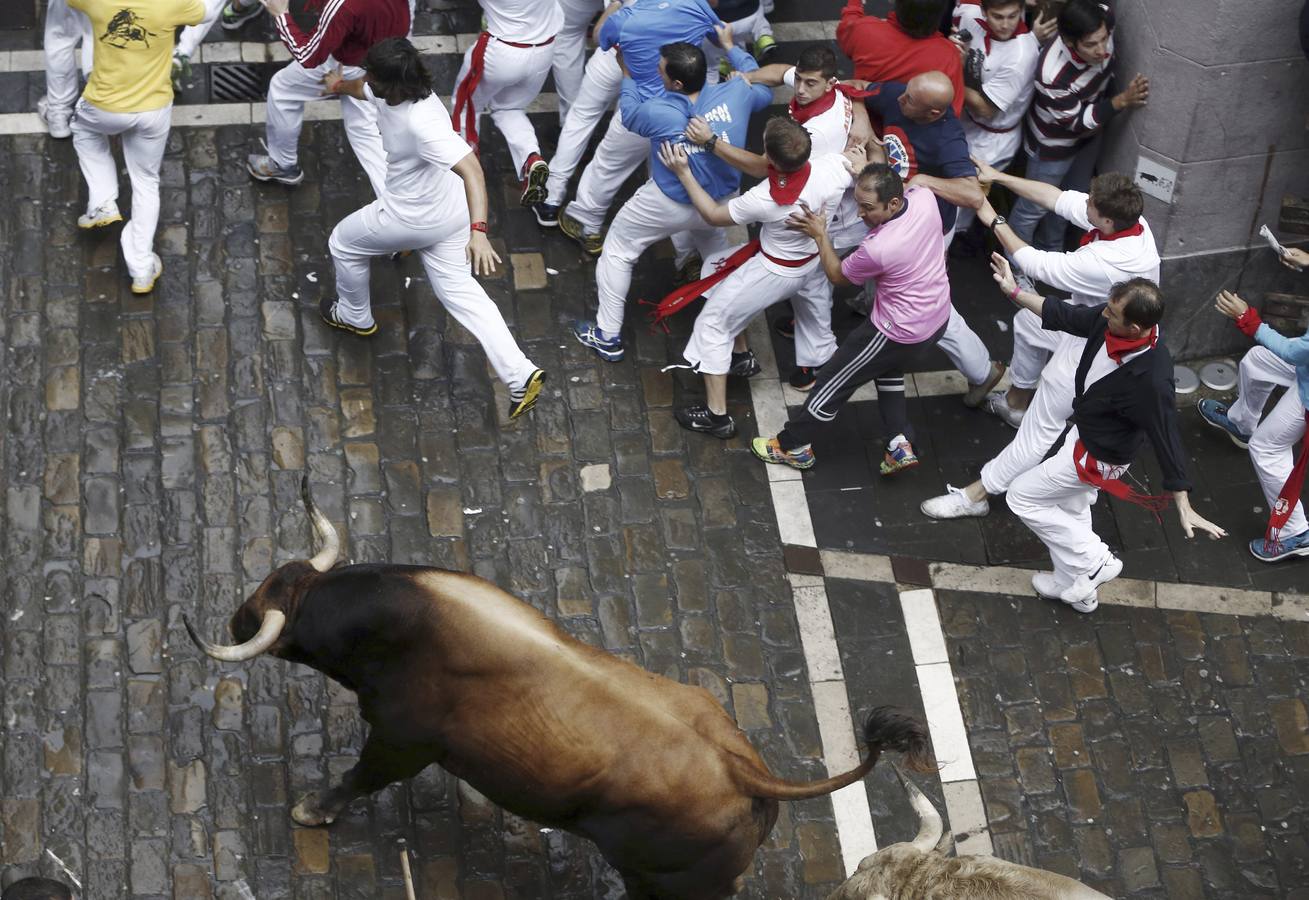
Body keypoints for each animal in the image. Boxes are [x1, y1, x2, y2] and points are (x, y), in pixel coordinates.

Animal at [187, 473, 932, 894]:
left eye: (275, 617)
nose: (235, 616)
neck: (399, 623)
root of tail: (745, 772)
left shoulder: (402, 740)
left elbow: (358, 778)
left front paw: (313, 810)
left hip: (672, 884)